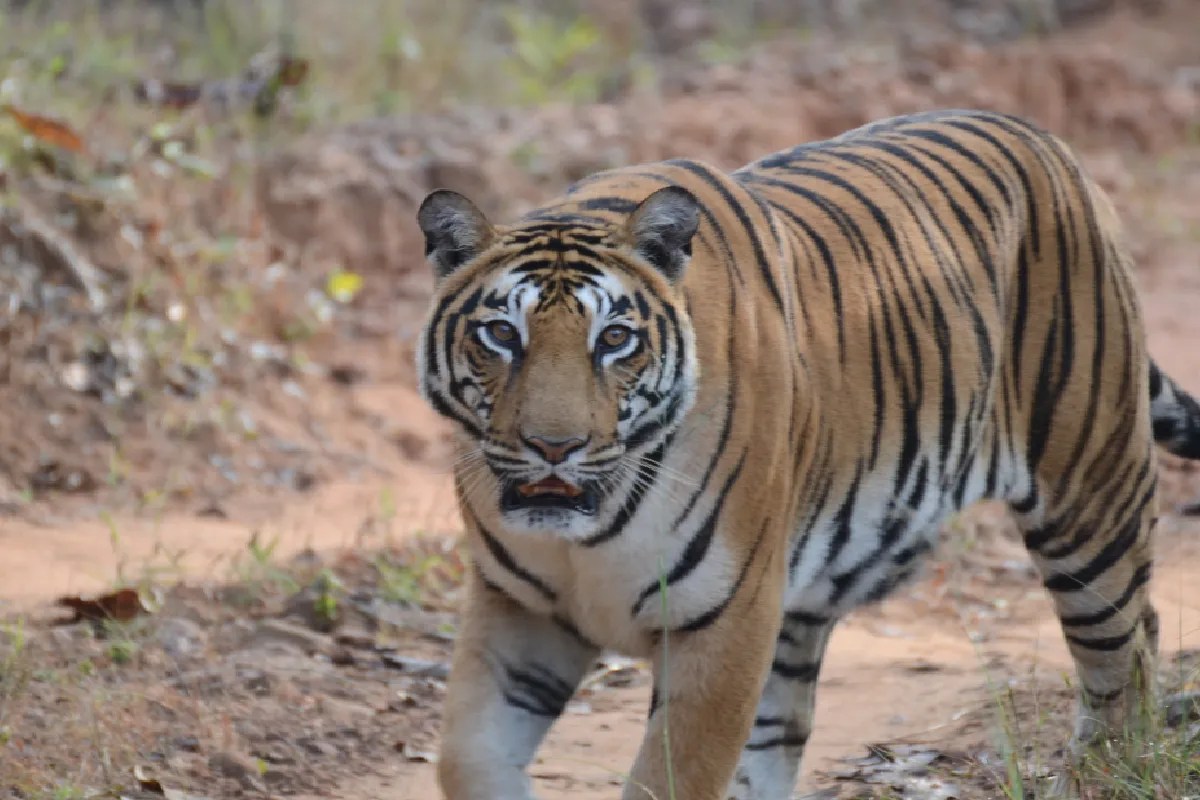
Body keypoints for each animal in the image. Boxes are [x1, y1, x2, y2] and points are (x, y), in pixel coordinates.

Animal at [414, 109, 1200, 800]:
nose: (554, 446)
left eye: (614, 340)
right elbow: (466, 759)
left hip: (1089, 501)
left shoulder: (725, 622)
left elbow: (672, 778)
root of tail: (1046, 140)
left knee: (1128, 650)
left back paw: (1108, 774)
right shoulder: (520, 612)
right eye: (501, 335)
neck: (590, 532)